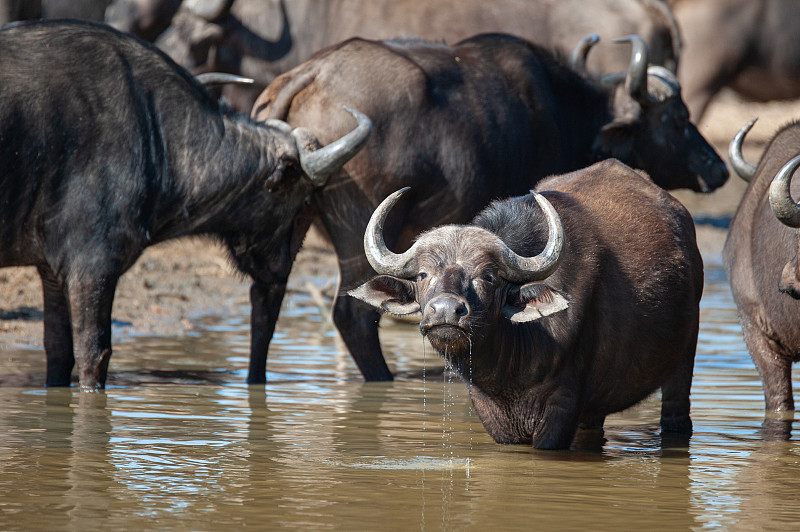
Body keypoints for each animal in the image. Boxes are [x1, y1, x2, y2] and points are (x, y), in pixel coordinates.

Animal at [0, 19, 370, 390]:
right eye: (304, 200)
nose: (281, 270)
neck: (155, 133)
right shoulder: (92, 267)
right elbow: (94, 353)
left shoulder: (51, 270)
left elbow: (58, 351)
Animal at [247, 34, 728, 386]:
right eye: (676, 118)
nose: (718, 168)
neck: (564, 112)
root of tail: (311, 73)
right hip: (358, 226)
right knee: (354, 313)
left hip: (287, 221)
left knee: (266, 294)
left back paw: (256, 379)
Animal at [350, 158, 700, 448]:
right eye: (423, 274)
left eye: (488, 276)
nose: (446, 310)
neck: (512, 366)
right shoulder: (491, 415)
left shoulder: (562, 408)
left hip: (684, 359)